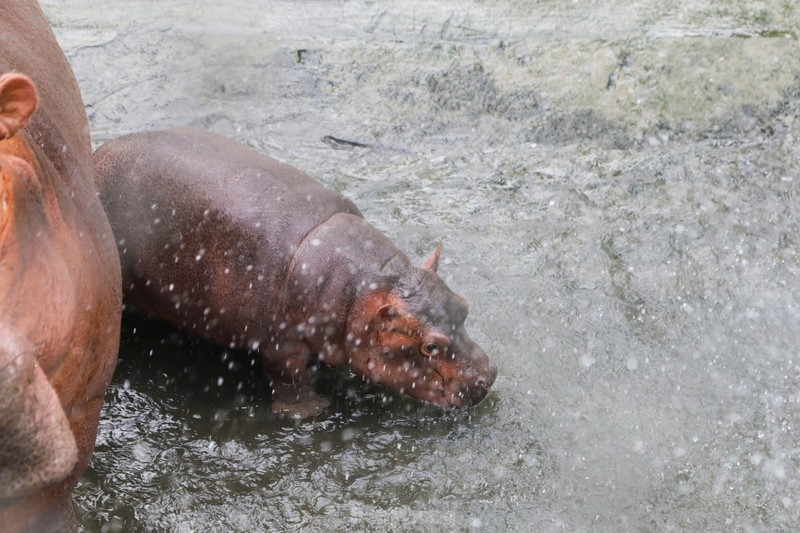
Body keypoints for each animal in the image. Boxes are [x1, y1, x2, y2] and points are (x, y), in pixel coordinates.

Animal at [92, 128, 494, 416]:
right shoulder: (279, 343)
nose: (487, 379)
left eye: (464, 306)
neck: (362, 286)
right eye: (430, 346)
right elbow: (290, 379)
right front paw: (313, 410)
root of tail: (96, 156)